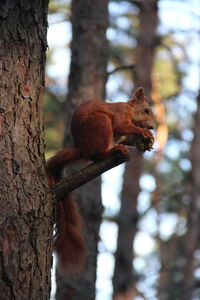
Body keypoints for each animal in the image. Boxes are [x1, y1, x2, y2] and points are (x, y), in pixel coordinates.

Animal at [45, 86, 155, 274]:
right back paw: (112, 151)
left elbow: (128, 137)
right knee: (97, 155)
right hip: (100, 123)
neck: (129, 110)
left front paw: (144, 142)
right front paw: (143, 132)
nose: (153, 127)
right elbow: (122, 125)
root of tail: (82, 149)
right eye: (146, 110)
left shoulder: (124, 134)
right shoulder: (119, 115)